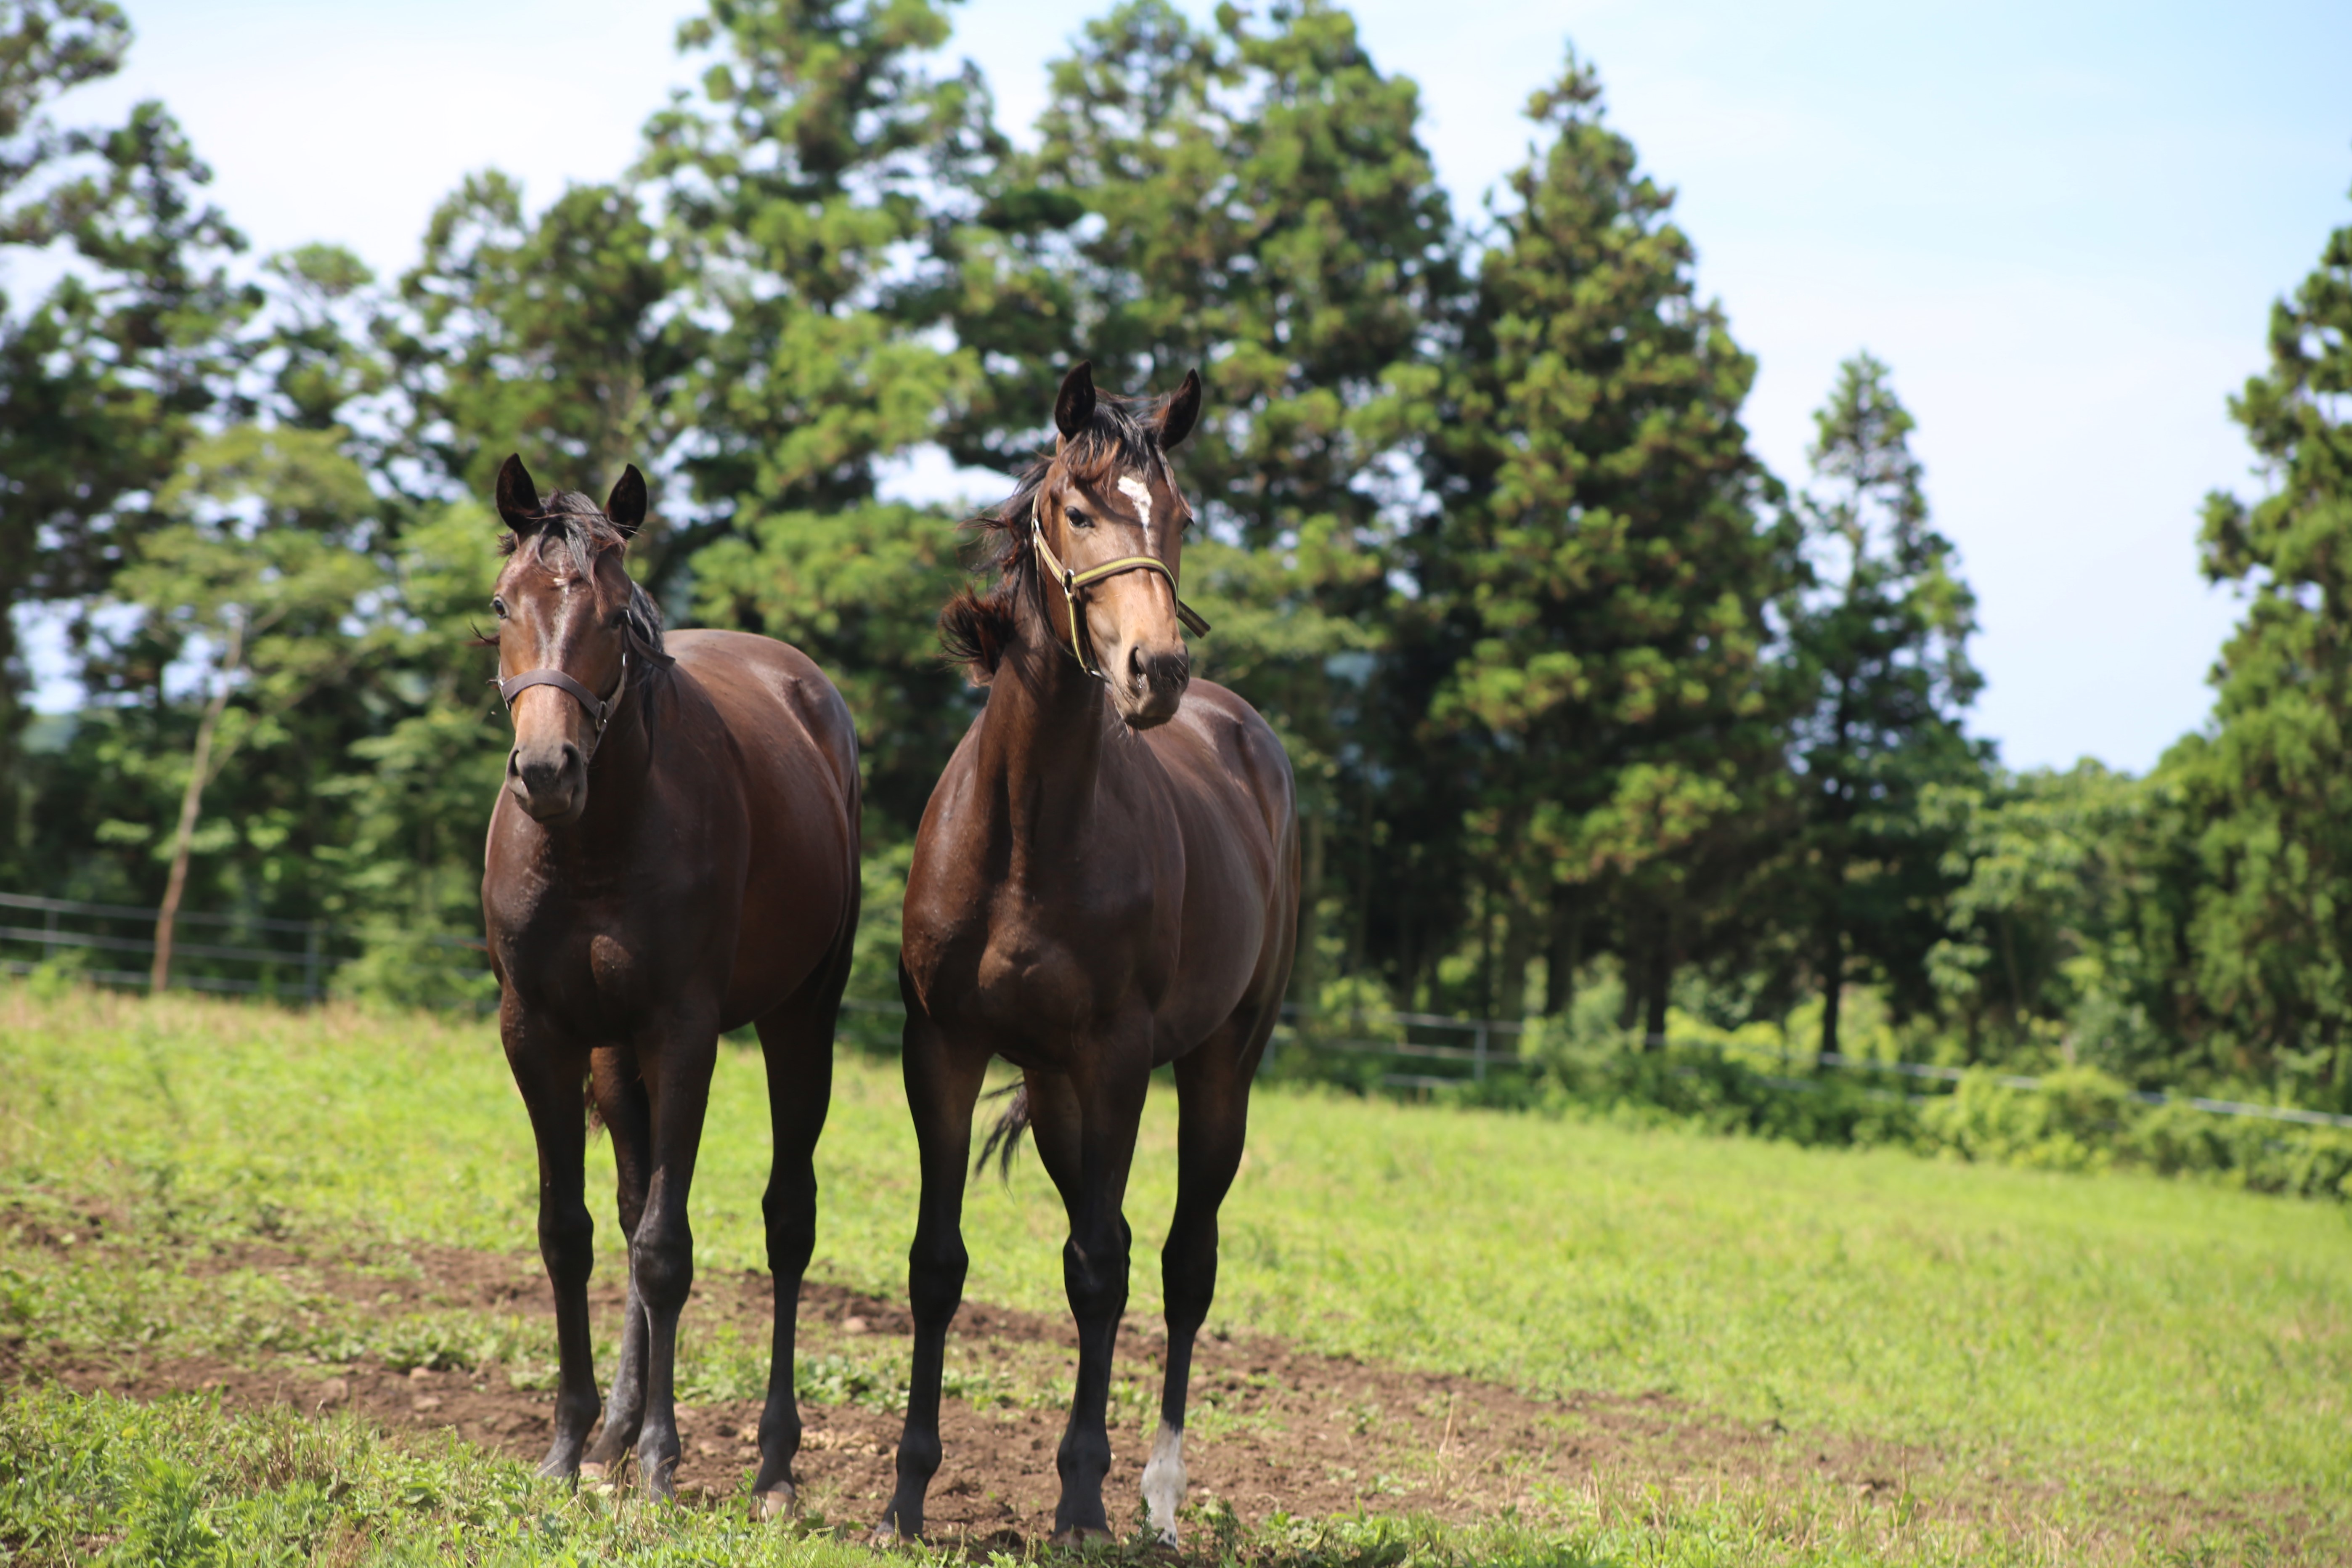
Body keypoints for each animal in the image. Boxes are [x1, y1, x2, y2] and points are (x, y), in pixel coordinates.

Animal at [477, 461, 856, 1514]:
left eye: (615, 617)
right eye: (502, 604)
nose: (546, 769)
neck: (594, 840)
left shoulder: (683, 1033)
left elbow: (663, 1250)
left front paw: (658, 1461)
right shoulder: (538, 1033)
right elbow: (568, 1233)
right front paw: (570, 1445)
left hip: (799, 1021)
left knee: (786, 1223)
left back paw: (771, 1465)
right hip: (614, 1059)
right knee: (630, 1195)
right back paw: (609, 1433)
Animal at [884, 364, 1307, 1542]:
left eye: (1181, 516)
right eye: (1077, 509)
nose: (1153, 670)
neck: (1029, 831)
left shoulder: (1117, 1061)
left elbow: (1100, 1273)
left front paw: (1080, 1499)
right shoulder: (941, 1047)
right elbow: (938, 1262)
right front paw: (905, 1495)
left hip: (1217, 1067)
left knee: (1177, 1261)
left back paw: (1157, 1496)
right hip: (1056, 1094)